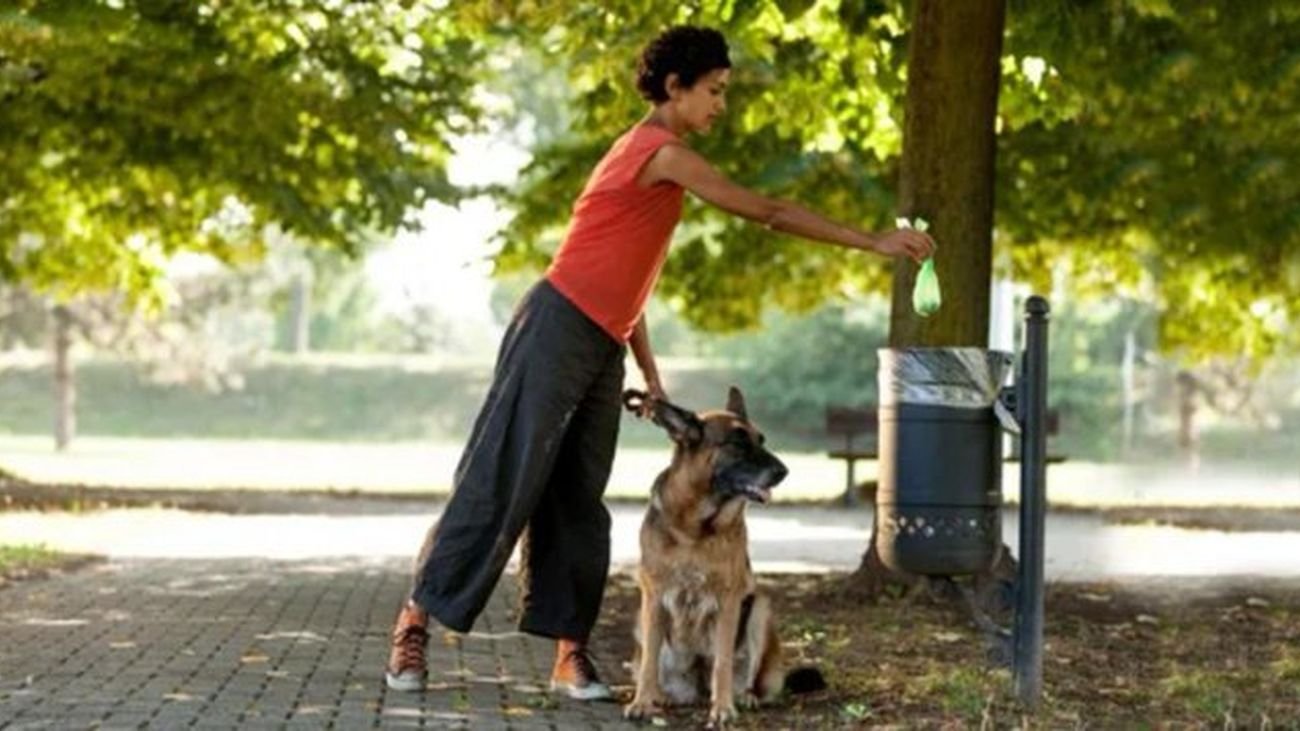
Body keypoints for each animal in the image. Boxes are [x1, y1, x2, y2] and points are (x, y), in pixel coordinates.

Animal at [621, 387, 821, 723]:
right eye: (737, 443)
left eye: (761, 440)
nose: (784, 472)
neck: (695, 528)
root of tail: (697, 687)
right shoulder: (654, 595)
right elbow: (649, 661)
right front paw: (642, 702)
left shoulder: (729, 600)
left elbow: (723, 662)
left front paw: (723, 708)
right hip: (641, 618)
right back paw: (661, 696)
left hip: (759, 609)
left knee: (744, 676)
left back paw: (744, 697)